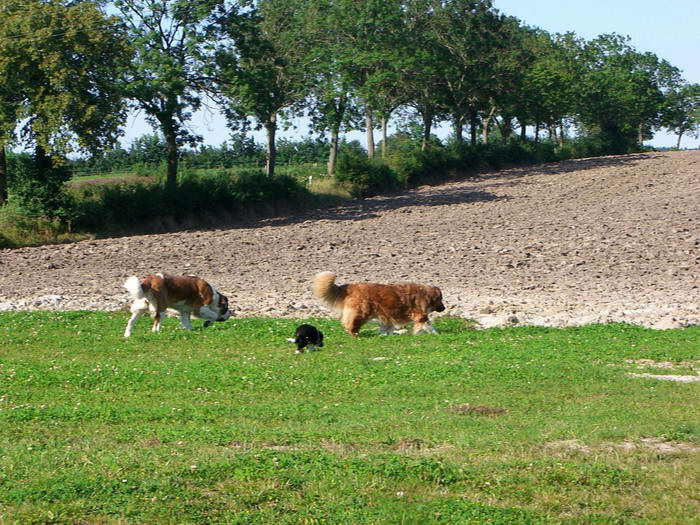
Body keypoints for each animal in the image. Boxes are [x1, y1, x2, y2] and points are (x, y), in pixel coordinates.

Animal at [310, 270, 442, 336]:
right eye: (441, 300)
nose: (444, 308)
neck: (426, 293)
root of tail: (350, 287)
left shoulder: (388, 317)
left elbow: (386, 327)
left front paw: (385, 334)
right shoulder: (420, 315)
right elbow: (427, 324)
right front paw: (433, 333)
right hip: (361, 312)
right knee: (351, 324)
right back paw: (354, 334)